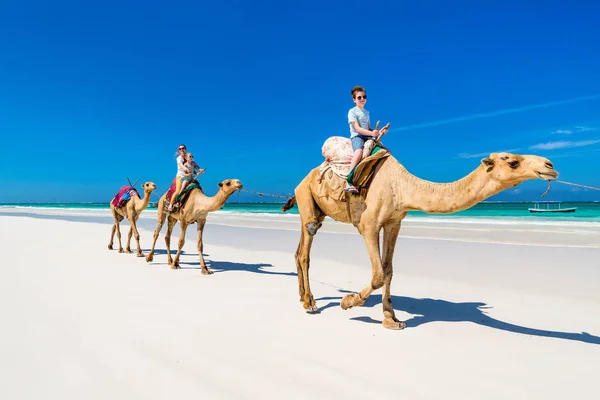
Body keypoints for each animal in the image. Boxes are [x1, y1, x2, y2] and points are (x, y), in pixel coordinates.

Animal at [284, 148, 560, 330]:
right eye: (512, 161)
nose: (549, 164)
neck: (403, 187)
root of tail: (301, 181)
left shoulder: (394, 222)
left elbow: (388, 270)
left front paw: (391, 320)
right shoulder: (368, 224)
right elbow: (378, 274)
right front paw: (348, 302)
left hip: (315, 208)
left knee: (299, 251)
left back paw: (304, 298)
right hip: (307, 198)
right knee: (307, 246)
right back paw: (310, 304)